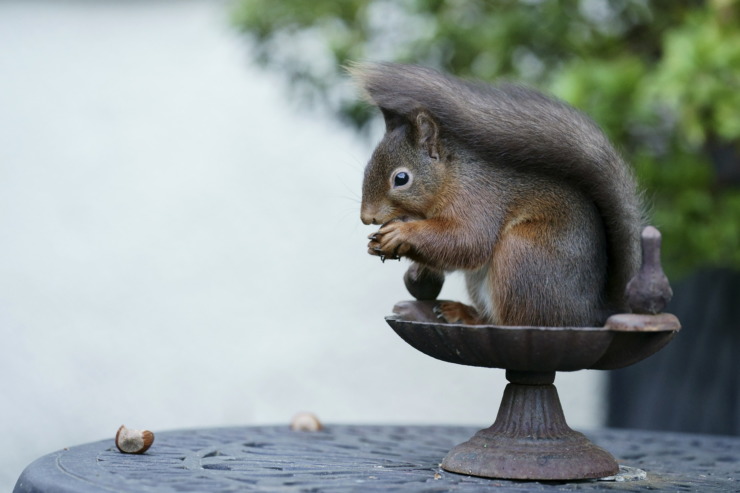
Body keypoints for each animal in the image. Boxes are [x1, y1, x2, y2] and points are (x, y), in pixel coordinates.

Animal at [348, 63, 640, 328]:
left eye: (401, 179)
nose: (367, 217)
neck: (452, 177)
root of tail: (590, 313)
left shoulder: (478, 200)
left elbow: (468, 241)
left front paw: (402, 233)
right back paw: (461, 313)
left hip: (522, 256)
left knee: (512, 323)